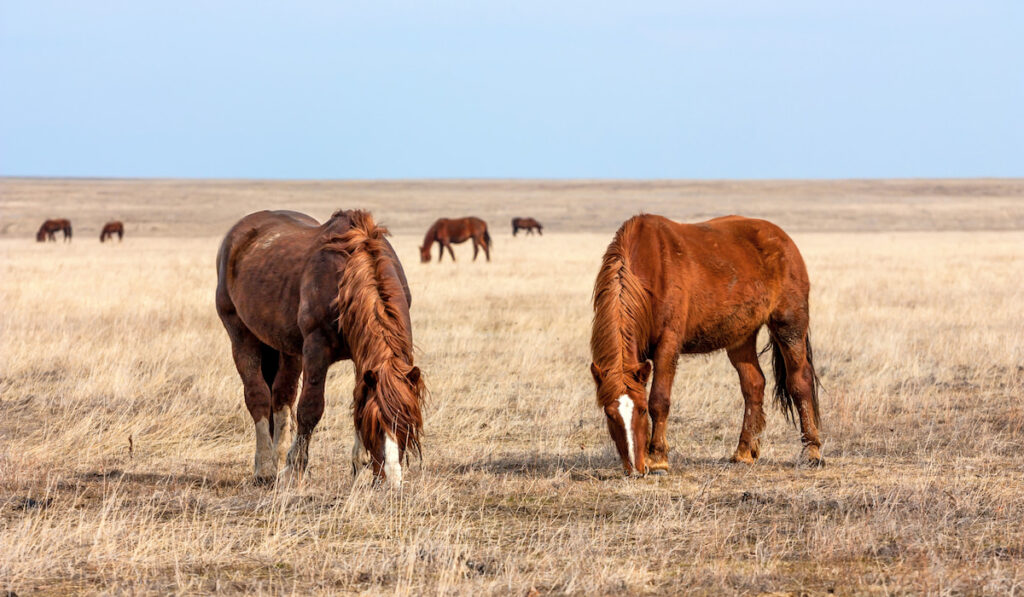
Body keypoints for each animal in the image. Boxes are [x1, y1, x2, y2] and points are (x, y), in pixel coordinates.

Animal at [216, 207, 423, 487]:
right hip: (240, 334)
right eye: (376, 426)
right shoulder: (316, 349)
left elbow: (357, 399)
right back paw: (265, 468)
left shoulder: (361, 357)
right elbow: (310, 408)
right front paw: (295, 468)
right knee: (257, 395)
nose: (391, 481)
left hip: (287, 349)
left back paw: (278, 459)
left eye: (407, 423)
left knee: (282, 395)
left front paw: (358, 466)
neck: (348, 279)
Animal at [589, 215, 819, 477]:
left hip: (789, 326)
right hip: (741, 337)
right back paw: (743, 452)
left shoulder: (668, 345)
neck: (648, 270)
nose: (635, 470)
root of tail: (783, 239)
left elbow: (659, 399)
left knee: (799, 381)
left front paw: (657, 459)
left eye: (642, 410)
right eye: (609, 414)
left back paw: (812, 451)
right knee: (754, 385)